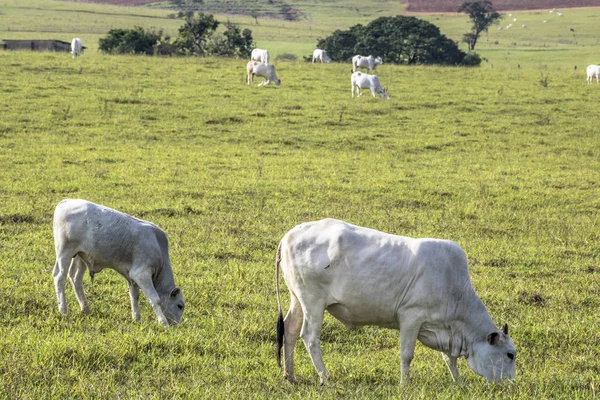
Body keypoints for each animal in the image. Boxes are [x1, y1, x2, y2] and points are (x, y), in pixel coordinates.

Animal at [51, 198, 185, 326]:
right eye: (180, 305)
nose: (177, 325)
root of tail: (67, 201)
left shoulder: (132, 277)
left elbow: (134, 295)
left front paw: (136, 318)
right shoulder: (141, 274)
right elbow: (155, 299)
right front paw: (163, 323)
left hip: (80, 255)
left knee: (75, 278)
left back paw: (85, 309)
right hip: (64, 251)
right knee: (60, 276)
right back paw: (63, 310)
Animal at [276, 219, 516, 384]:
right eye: (510, 354)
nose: (512, 383)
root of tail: (290, 234)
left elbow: (449, 358)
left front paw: (459, 382)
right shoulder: (411, 316)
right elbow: (406, 354)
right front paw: (404, 383)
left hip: (297, 299)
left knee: (290, 329)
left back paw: (290, 375)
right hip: (313, 302)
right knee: (310, 337)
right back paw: (325, 377)